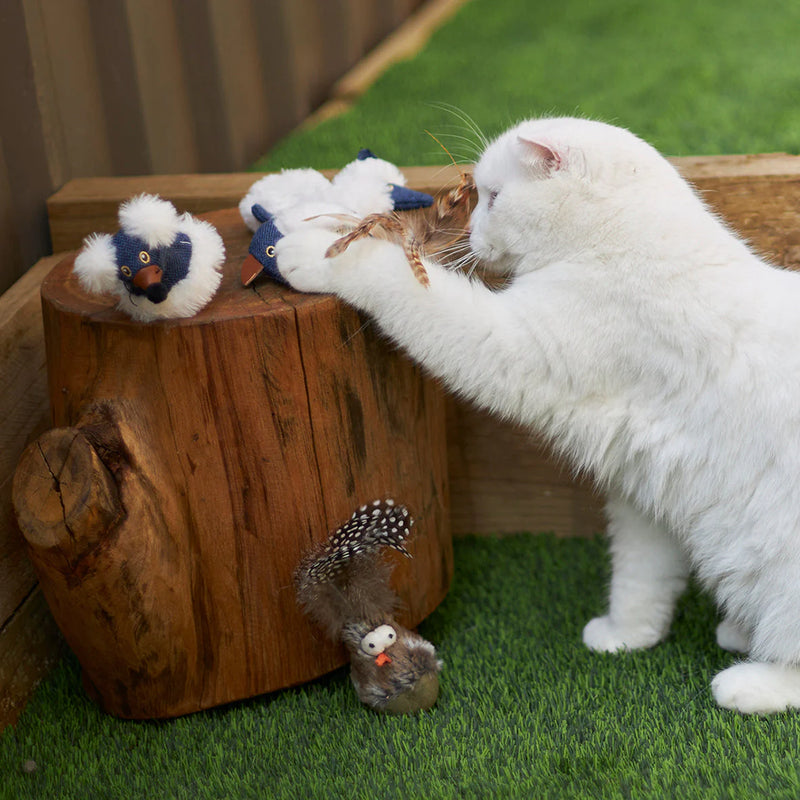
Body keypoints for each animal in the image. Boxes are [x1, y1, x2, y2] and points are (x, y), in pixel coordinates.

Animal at [276, 117, 800, 712]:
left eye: (494, 198)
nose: (471, 232)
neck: (616, 245)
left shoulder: (510, 347)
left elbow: (400, 282)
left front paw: (318, 253)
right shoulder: (642, 496)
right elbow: (639, 578)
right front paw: (627, 635)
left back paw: (749, 682)